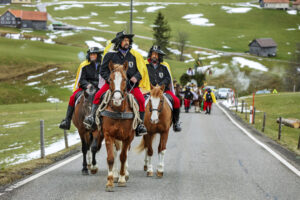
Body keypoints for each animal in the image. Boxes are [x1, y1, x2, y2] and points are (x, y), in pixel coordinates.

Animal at [99, 61, 135, 192]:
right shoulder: (108, 135)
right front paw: (110, 182)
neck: (118, 110)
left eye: (125, 79)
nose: (117, 99)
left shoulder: (128, 136)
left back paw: (124, 174)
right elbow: (111, 157)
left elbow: (123, 157)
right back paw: (115, 174)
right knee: (115, 153)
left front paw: (122, 179)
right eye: (110, 79)